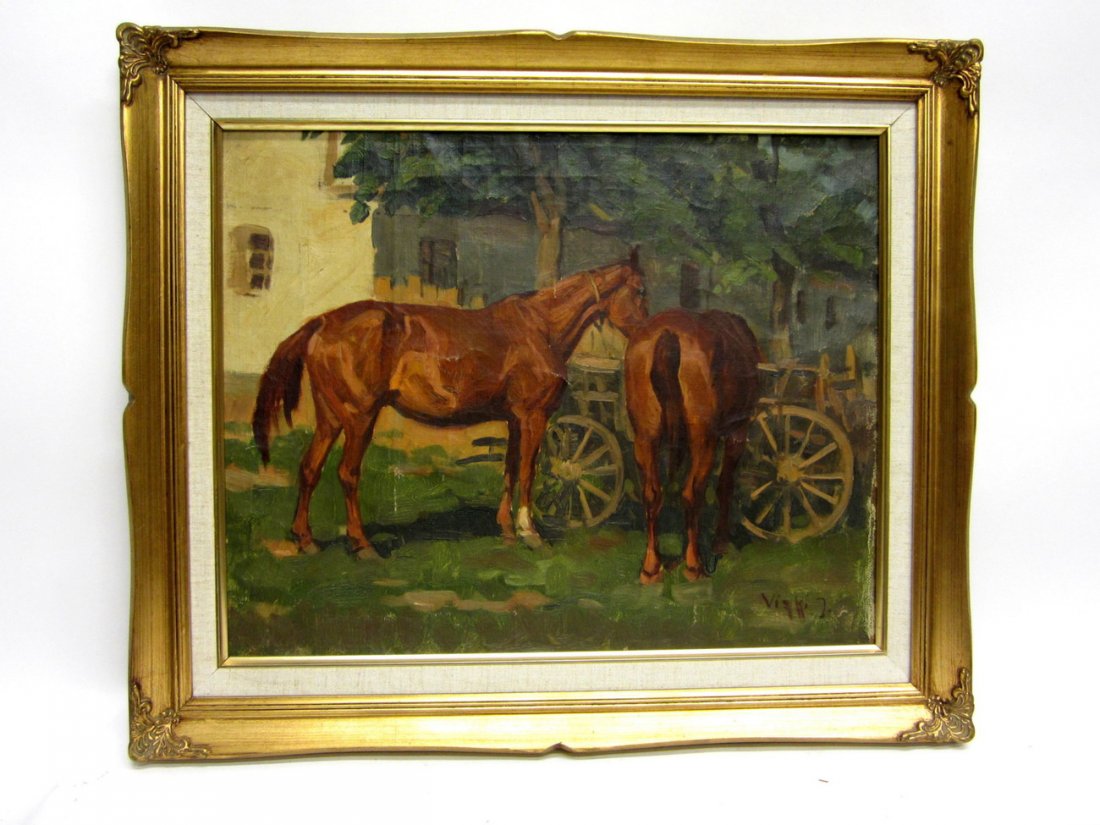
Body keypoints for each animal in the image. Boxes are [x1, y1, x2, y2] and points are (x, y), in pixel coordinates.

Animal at [252, 251, 648, 559]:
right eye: (641, 290)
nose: (646, 333)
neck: (540, 327)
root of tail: (321, 322)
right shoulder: (534, 417)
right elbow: (528, 472)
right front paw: (531, 533)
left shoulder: (514, 419)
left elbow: (509, 470)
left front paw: (507, 531)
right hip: (359, 417)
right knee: (347, 474)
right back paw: (362, 545)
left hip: (330, 417)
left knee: (309, 469)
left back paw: (305, 539)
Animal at [624, 309, 763, 584]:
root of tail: (668, 333)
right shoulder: (737, 432)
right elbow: (725, 486)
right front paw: (720, 544)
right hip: (704, 439)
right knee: (692, 493)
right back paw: (693, 565)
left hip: (645, 437)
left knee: (652, 494)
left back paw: (651, 568)